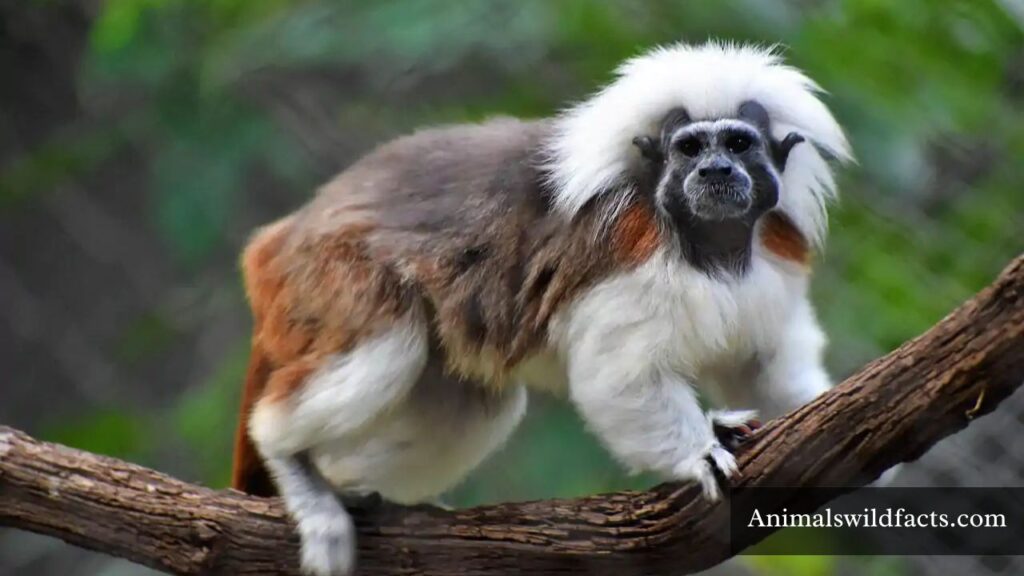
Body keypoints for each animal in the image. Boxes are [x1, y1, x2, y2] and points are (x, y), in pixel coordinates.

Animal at [230, 42, 852, 576]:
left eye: (740, 144)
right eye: (691, 148)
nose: (716, 172)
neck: (709, 247)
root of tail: (283, 235)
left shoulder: (773, 259)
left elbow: (765, 369)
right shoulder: (627, 259)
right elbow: (618, 378)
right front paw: (697, 453)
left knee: (469, 407)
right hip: (333, 275)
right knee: (385, 349)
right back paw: (291, 463)